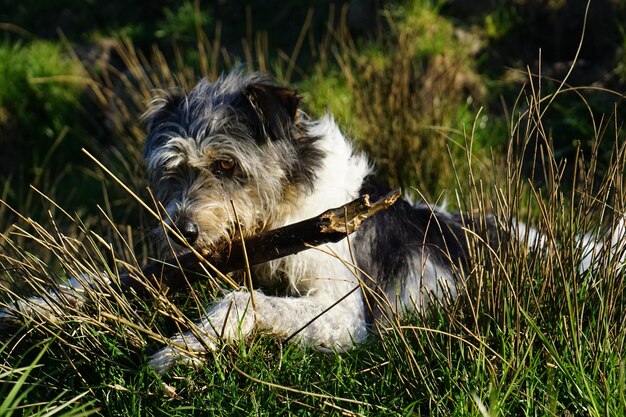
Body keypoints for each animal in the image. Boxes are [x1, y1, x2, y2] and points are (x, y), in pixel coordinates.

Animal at [143, 70, 498, 370]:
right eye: (173, 168)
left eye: (226, 164)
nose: (181, 231)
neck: (285, 206)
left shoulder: (343, 314)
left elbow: (246, 300)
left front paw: (183, 347)